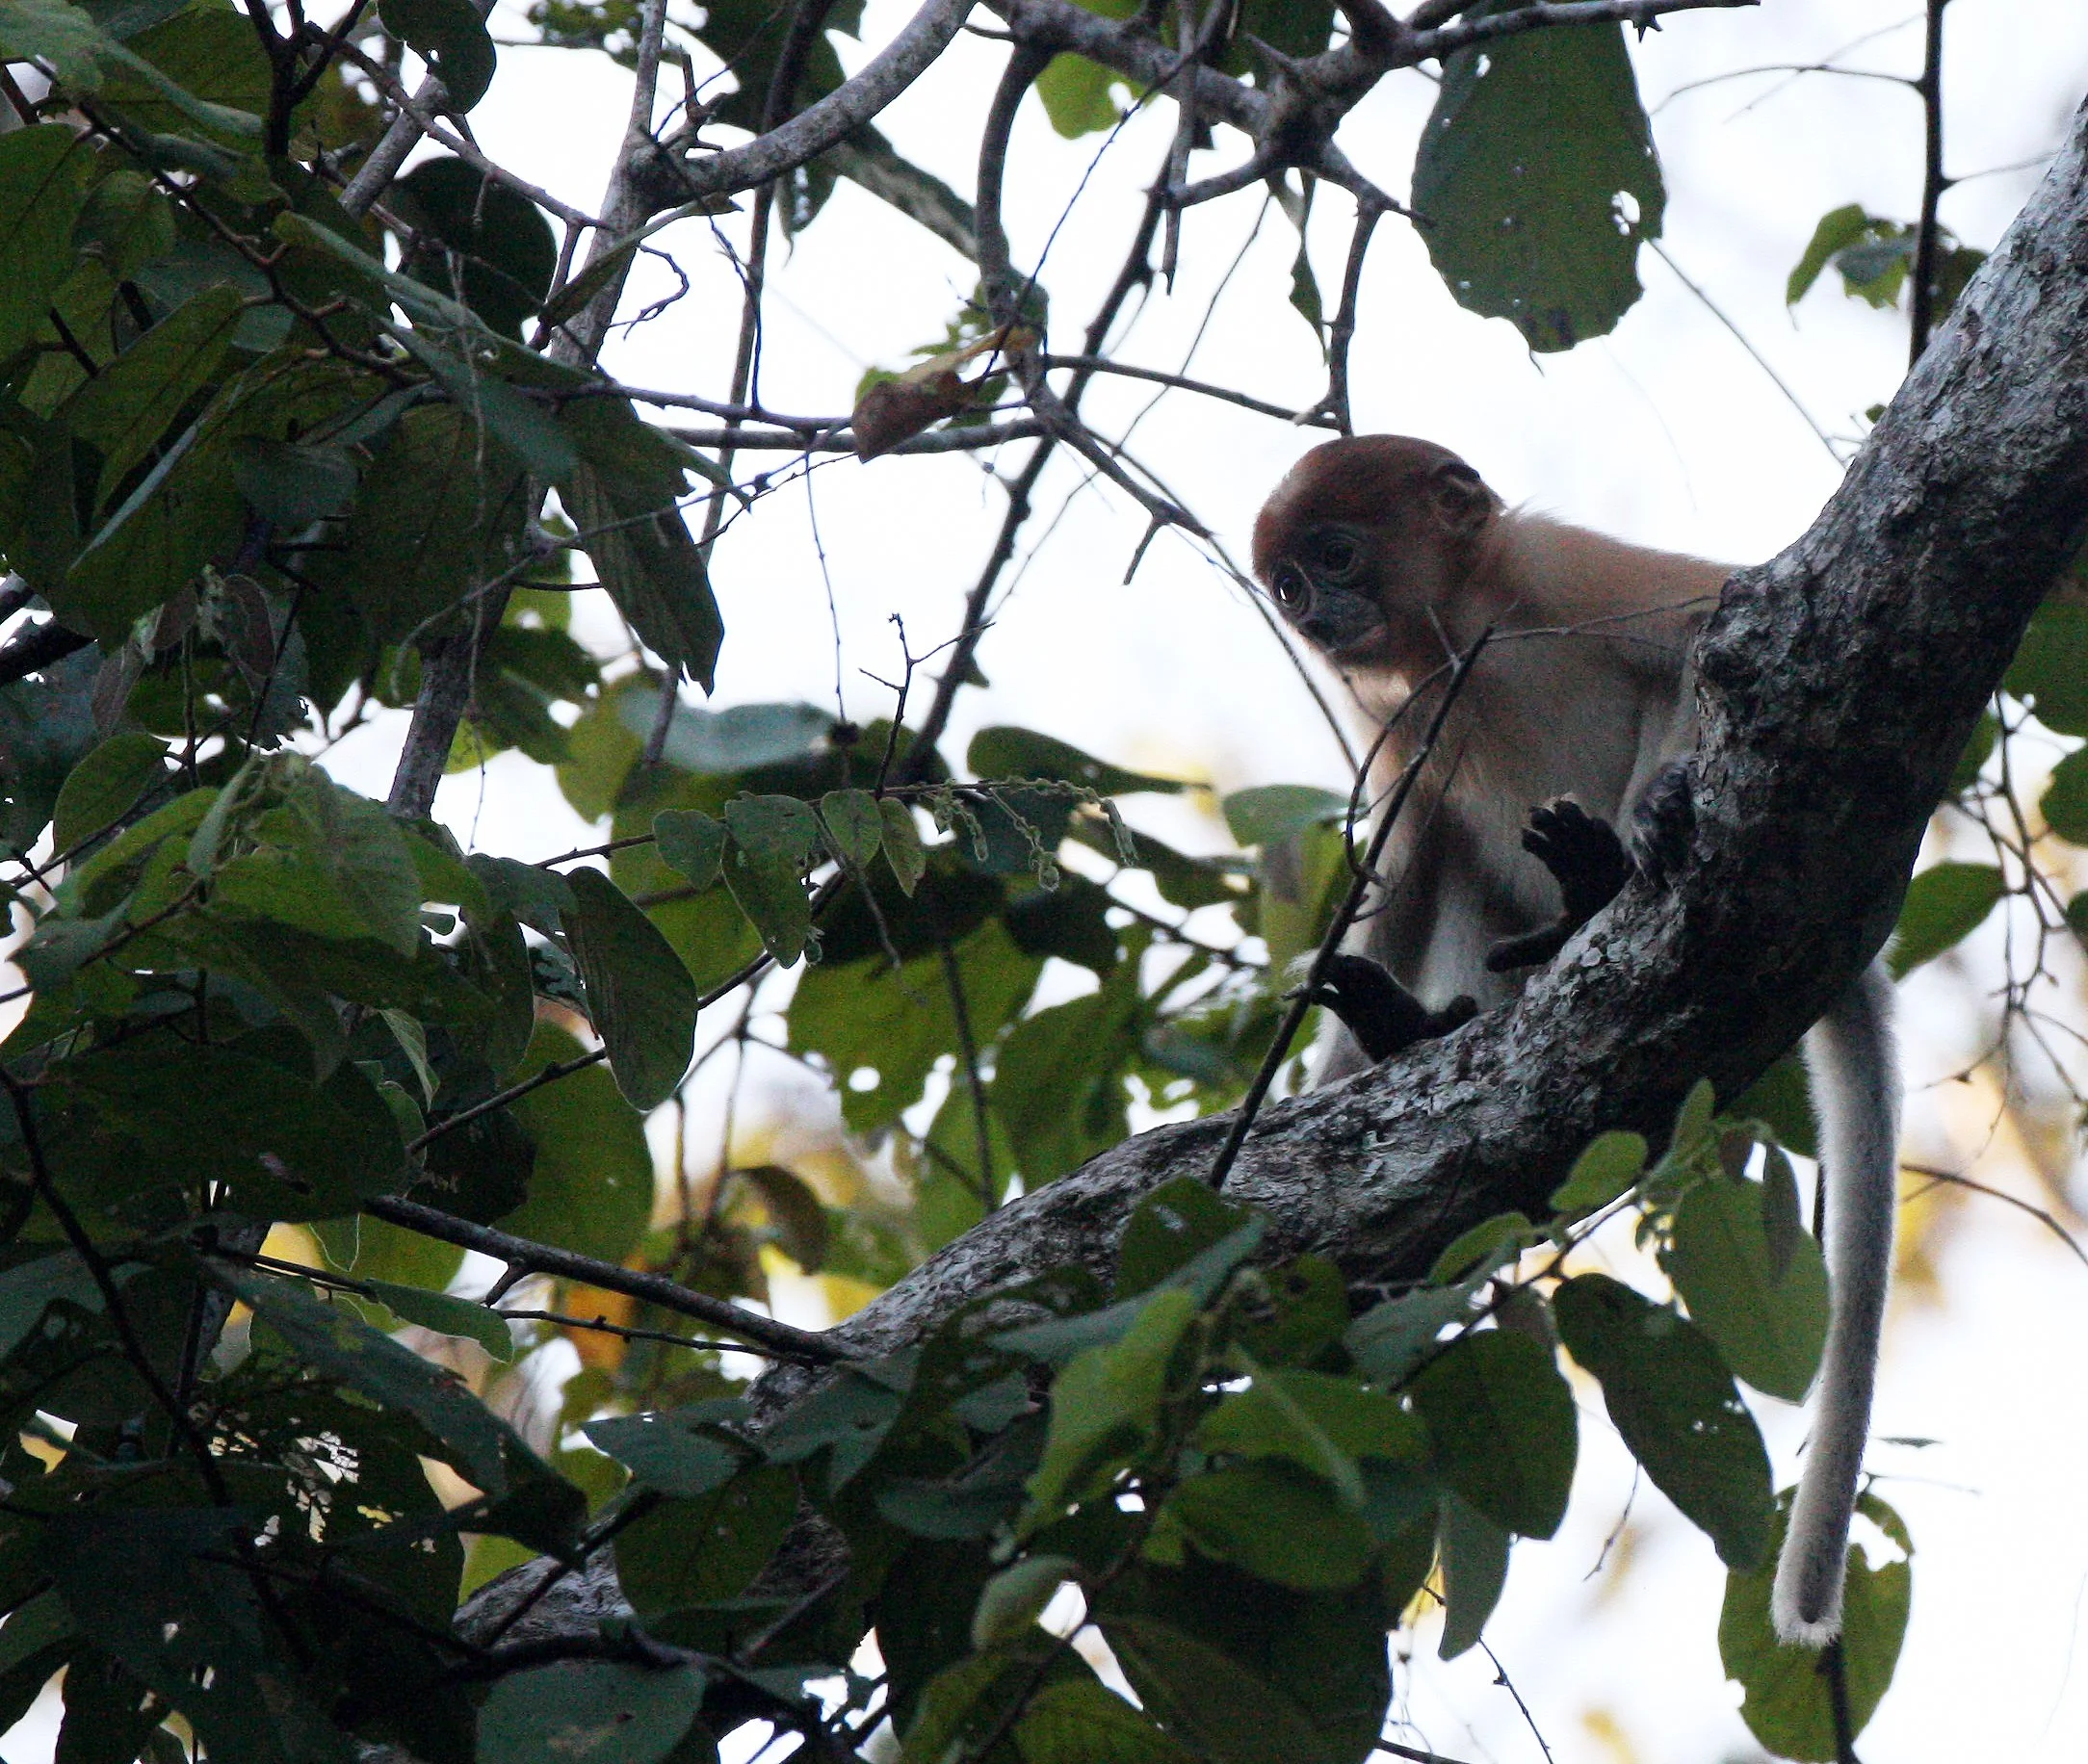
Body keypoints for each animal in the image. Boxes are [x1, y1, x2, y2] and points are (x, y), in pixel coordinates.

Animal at [1251, 435, 1900, 1649]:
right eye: (1289, 583)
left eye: (1335, 554)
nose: (1311, 611)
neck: (1461, 624)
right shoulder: (1400, 710)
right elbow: (1410, 853)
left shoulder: (1552, 569)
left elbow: (1710, 634)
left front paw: (1648, 817)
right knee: (1457, 848)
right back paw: (1414, 1022)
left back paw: (1599, 877)